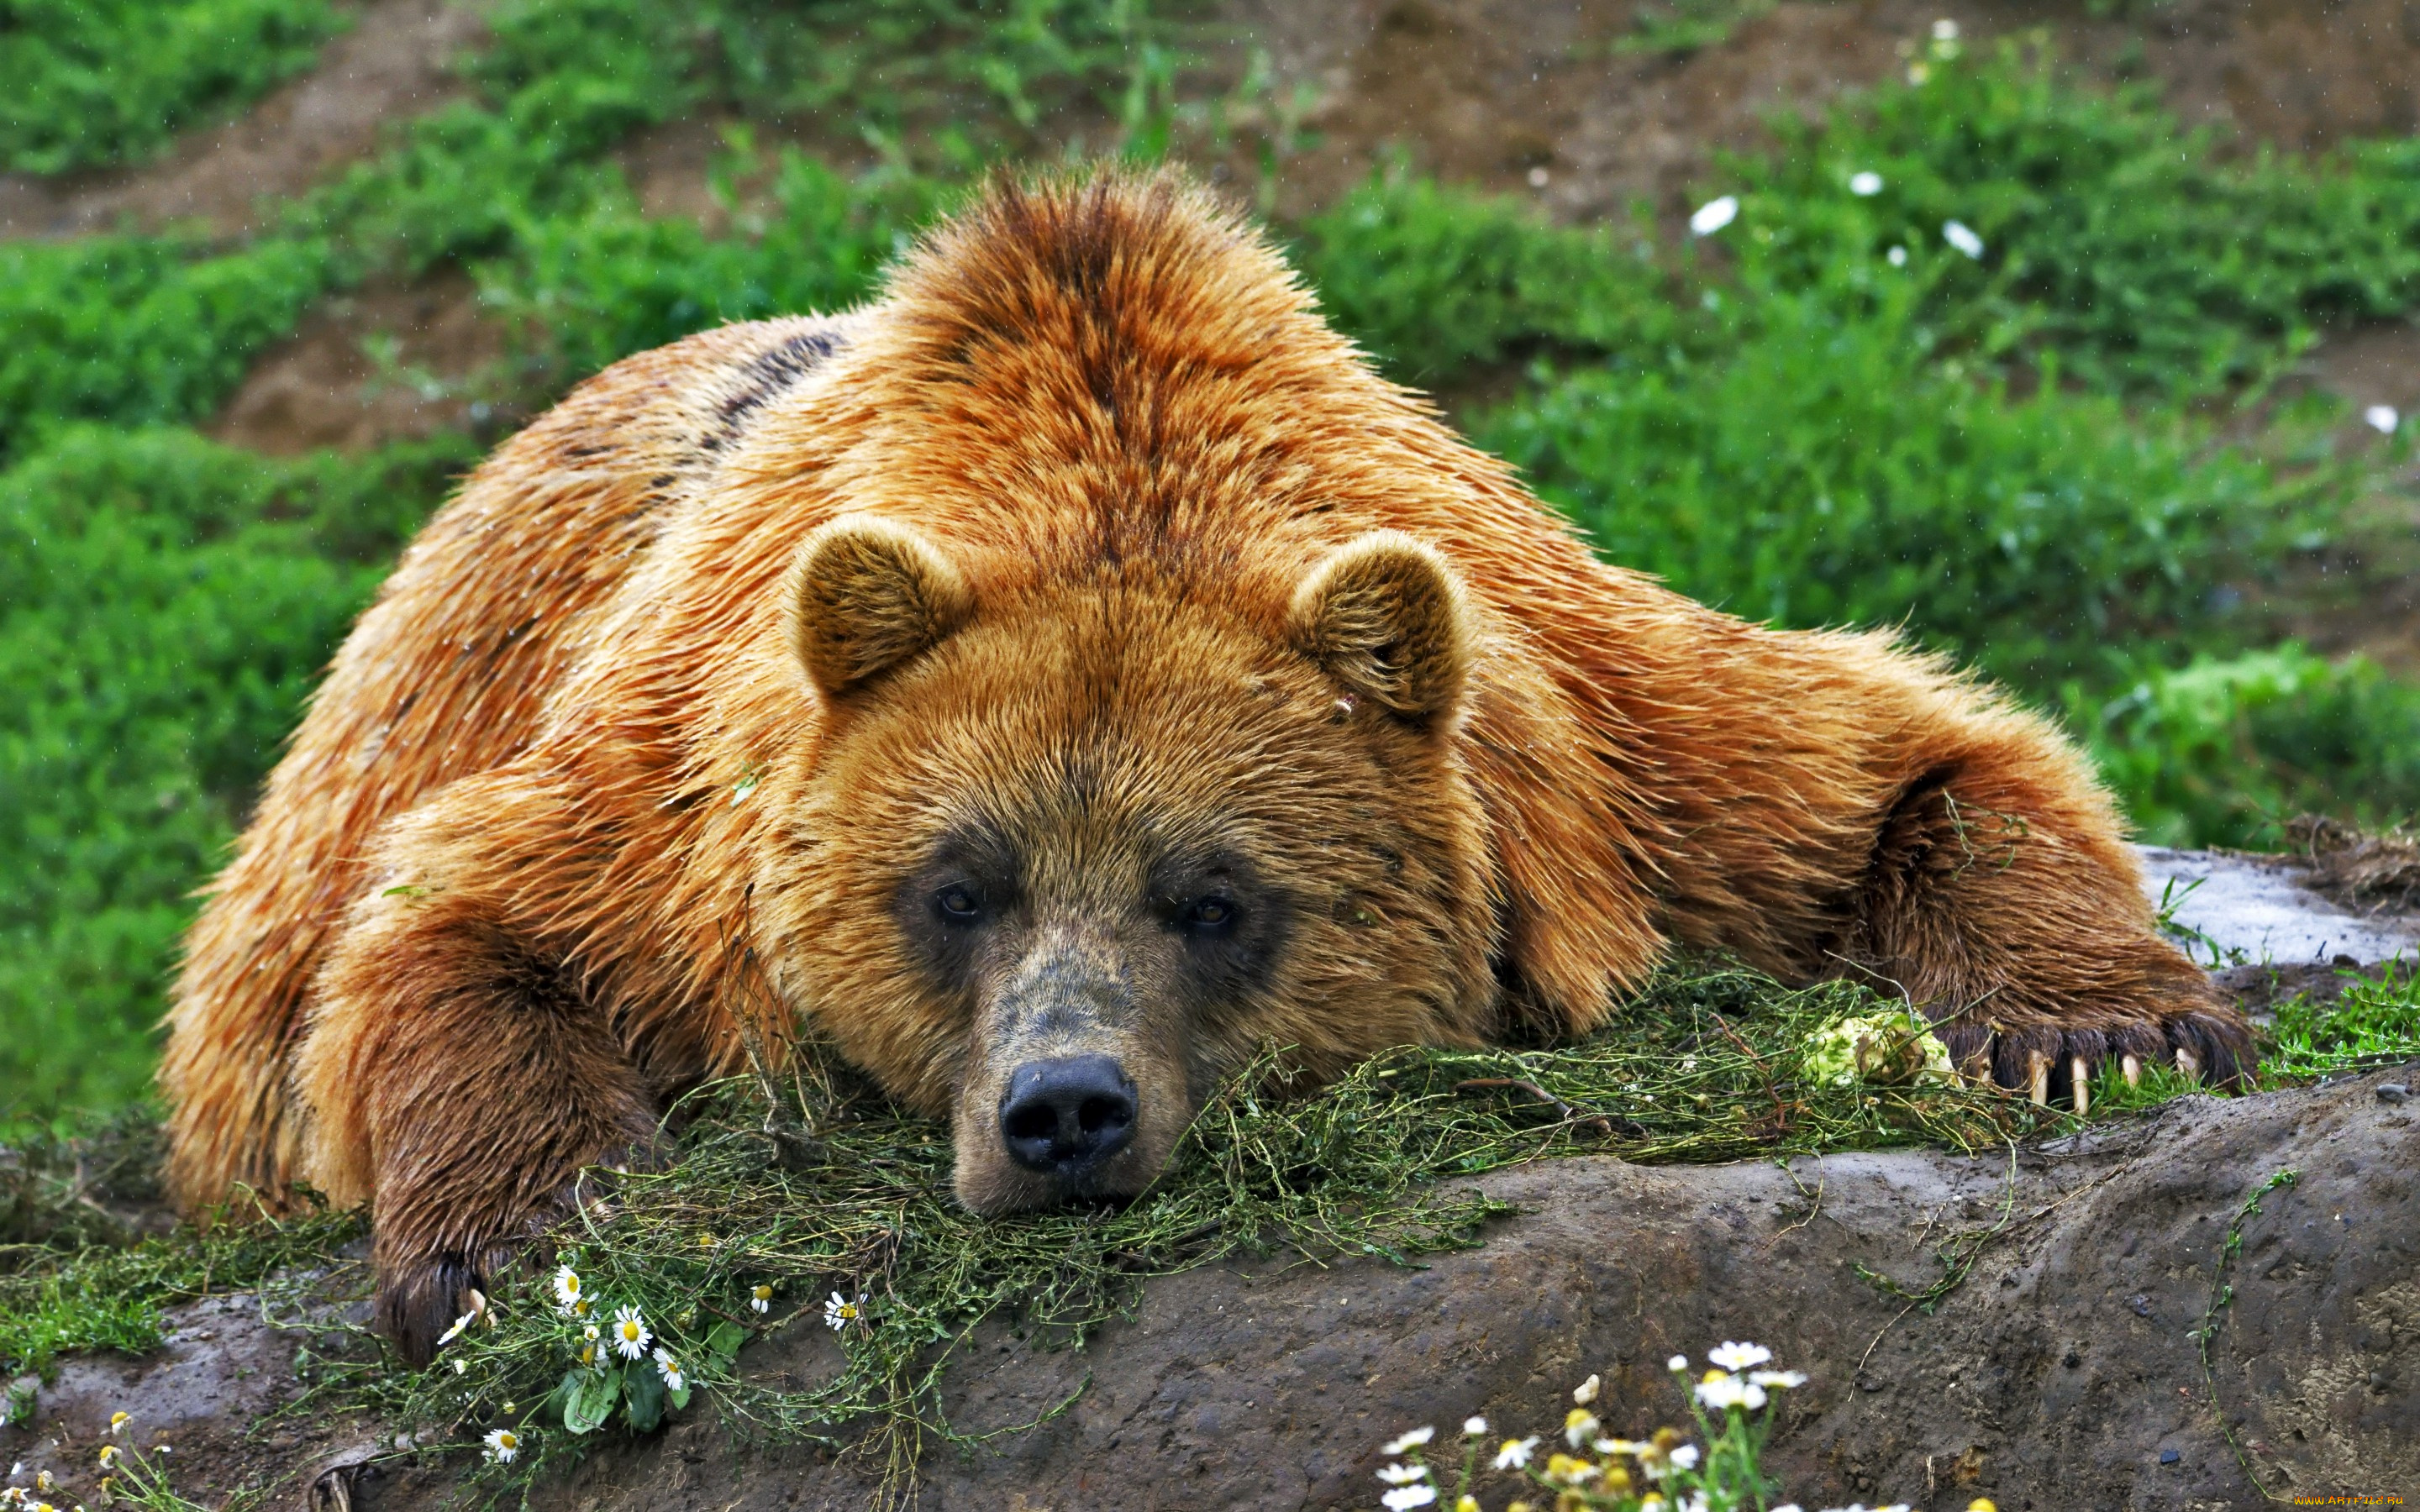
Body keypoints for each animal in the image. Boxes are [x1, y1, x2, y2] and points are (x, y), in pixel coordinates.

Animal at [162, 169, 2249, 1364]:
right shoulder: (680, 799)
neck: (1098, 443)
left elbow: (1901, 763)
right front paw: (524, 1232)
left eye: (1215, 897)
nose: (1064, 1112)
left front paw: (2108, 1026)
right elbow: (454, 921)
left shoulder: (1599, 742)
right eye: (957, 888)